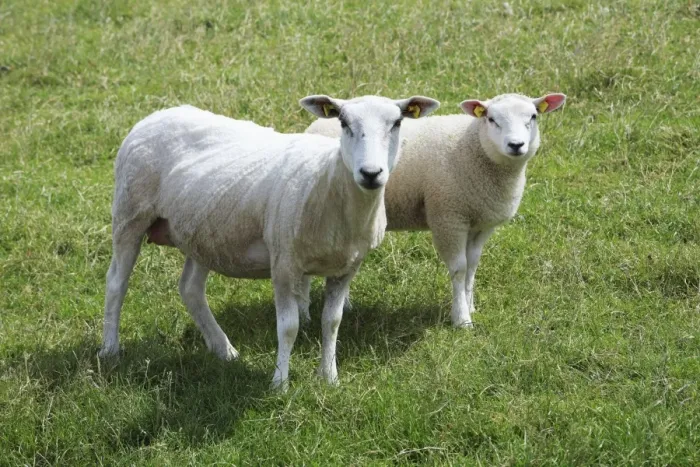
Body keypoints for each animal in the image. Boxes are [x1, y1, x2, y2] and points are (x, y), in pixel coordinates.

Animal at [98, 95, 440, 389]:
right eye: (343, 122)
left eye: (397, 123)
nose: (370, 173)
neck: (328, 182)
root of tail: (154, 116)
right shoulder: (284, 263)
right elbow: (288, 327)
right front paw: (280, 384)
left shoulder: (346, 268)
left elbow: (332, 321)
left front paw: (329, 378)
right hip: (130, 214)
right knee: (116, 282)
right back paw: (110, 349)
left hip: (202, 231)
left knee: (190, 289)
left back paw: (224, 349)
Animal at [306, 93, 566, 328]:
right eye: (492, 119)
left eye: (533, 116)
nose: (516, 145)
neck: (475, 149)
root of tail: (314, 125)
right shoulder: (448, 217)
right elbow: (460, 268)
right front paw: (462, 319)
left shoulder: (481, 223)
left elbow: (472, 266)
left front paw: (470, 305)